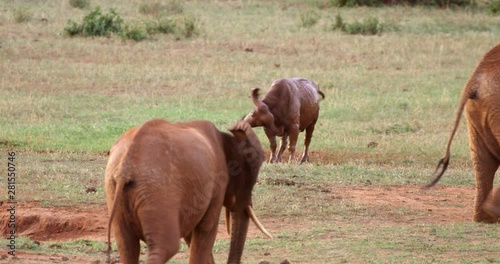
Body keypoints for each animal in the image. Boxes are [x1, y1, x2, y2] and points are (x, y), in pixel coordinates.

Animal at [103, 119, 272, 264]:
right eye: (252, 174)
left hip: (115, 189)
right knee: (165, 247)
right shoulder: (217, 183)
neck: (226, 137)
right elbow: (206, 230)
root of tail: (126, 167)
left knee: (127, 246)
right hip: (158, 192)